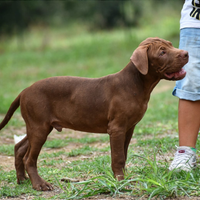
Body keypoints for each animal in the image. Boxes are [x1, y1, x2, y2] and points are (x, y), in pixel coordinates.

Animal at [0, 37, 188, 191]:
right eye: (162, 52)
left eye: (171, 45)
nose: (186, 53)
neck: (137, 83)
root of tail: (24, 91)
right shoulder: (117, 128)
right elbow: (118, 157)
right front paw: (120, 181)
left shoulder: (129, 128)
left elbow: (124, 154)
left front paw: (124, 177)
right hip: (39, 127)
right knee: (29, 158)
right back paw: (39, 184)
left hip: (37, 127)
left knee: (20, 148)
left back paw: (22, 179)